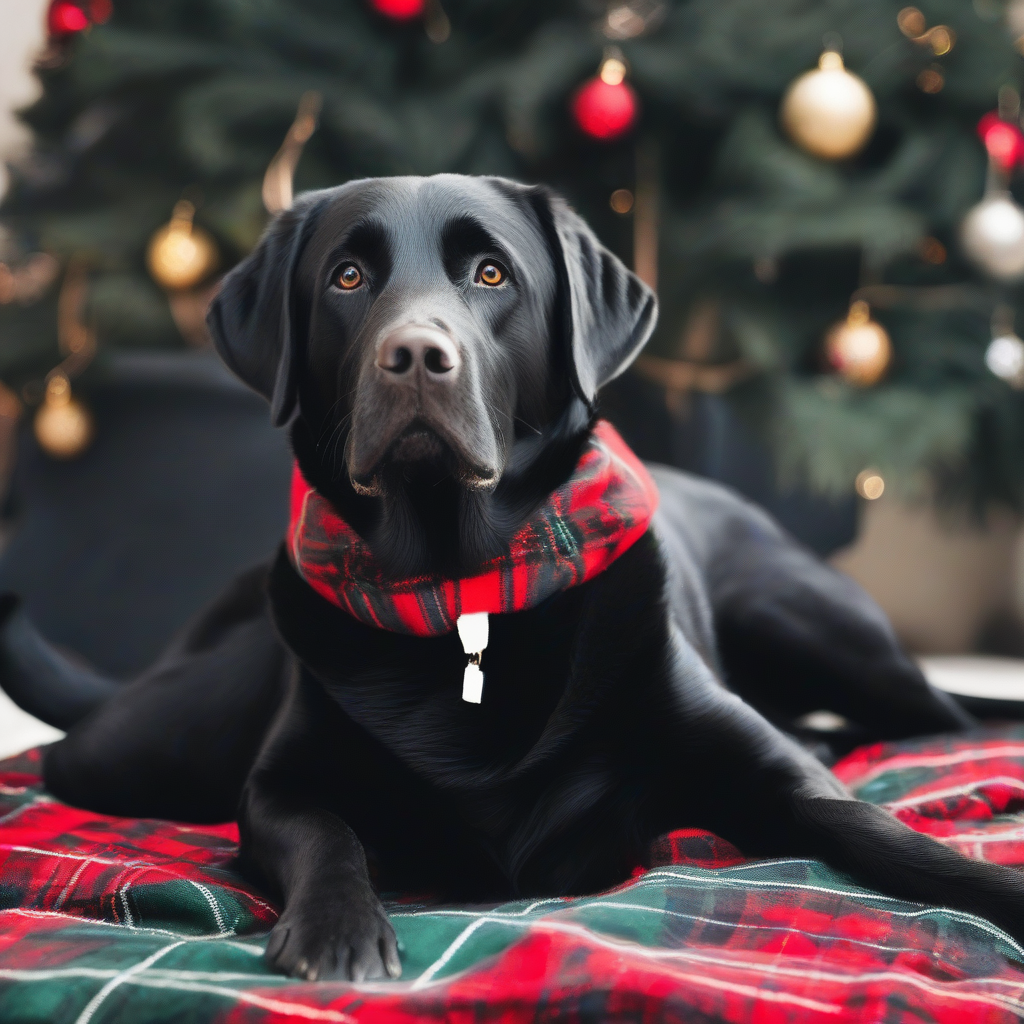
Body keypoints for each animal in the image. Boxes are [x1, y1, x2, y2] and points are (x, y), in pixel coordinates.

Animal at [2, 176, 1015, 983]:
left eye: (491, 275)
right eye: (346, 277)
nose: (414, 356)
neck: (464, 590)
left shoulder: (778, 779)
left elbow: (881, 831)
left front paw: (989, 884)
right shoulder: (279, 788)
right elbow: (327, 834)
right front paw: (338, 929)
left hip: (806, 622)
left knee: (942, 718)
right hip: (139, 746)